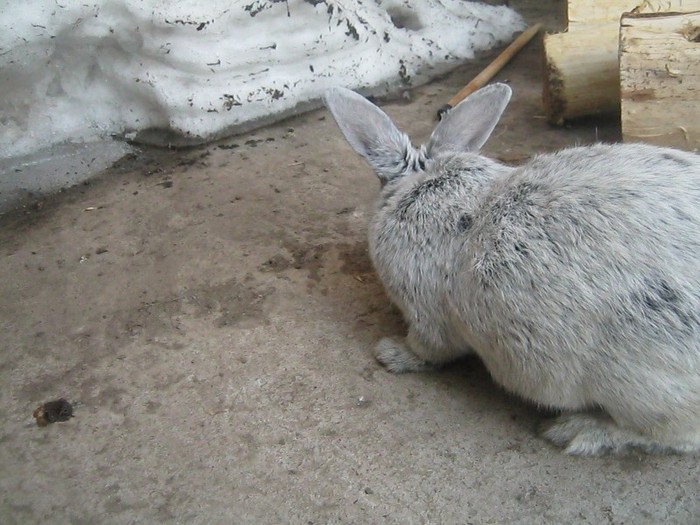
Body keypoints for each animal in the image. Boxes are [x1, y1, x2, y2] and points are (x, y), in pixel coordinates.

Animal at [326, 83, 700, 454]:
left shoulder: (426, 318)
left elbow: (427, 350)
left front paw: (390, 354)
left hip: (640, 390)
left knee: (672, 437)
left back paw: (575, 431)